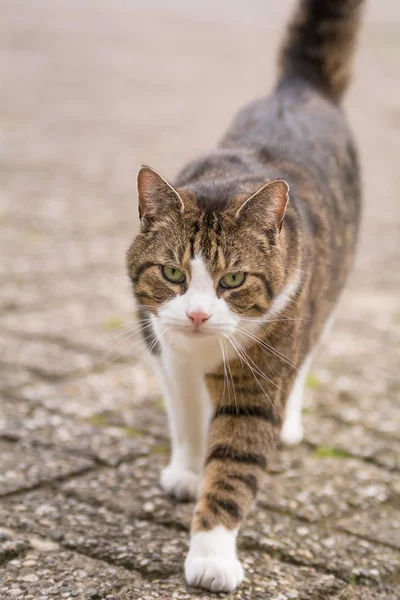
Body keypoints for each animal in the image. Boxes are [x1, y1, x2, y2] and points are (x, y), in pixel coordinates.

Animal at [126, 0, 364, 592]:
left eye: (232, 281)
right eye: (173, 273)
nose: (196, 313)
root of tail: (299, 87)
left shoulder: (260, 377)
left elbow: (234, 462)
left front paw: (211, 553)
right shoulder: (165, 348)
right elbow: (187, 417)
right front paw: (188, 470)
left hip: (325, 297)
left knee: (310, 353)